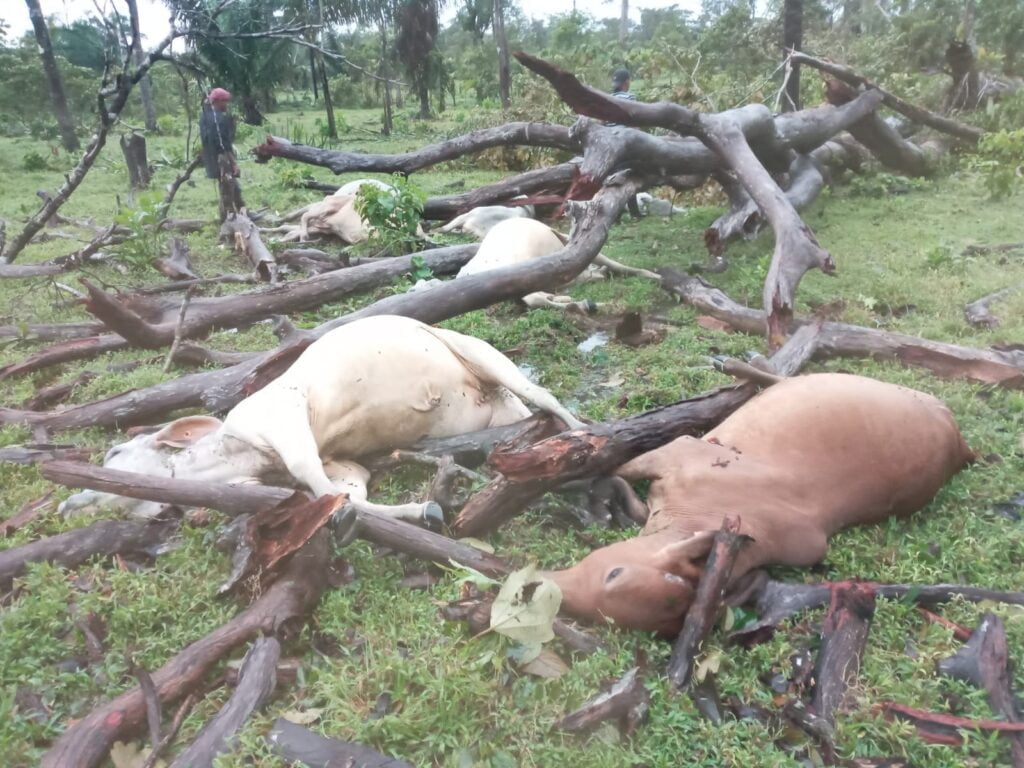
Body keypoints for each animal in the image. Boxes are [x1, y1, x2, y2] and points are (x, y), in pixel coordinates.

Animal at [59, 315, 581, 528]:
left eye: (115, 451)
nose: (67, 504)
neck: (232, 458)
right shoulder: (341, 463)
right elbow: (345, 492)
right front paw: (421, 509)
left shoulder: (284, 414)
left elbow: (315, 480)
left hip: (476, 350)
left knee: (546, 396)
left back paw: (583, 435)